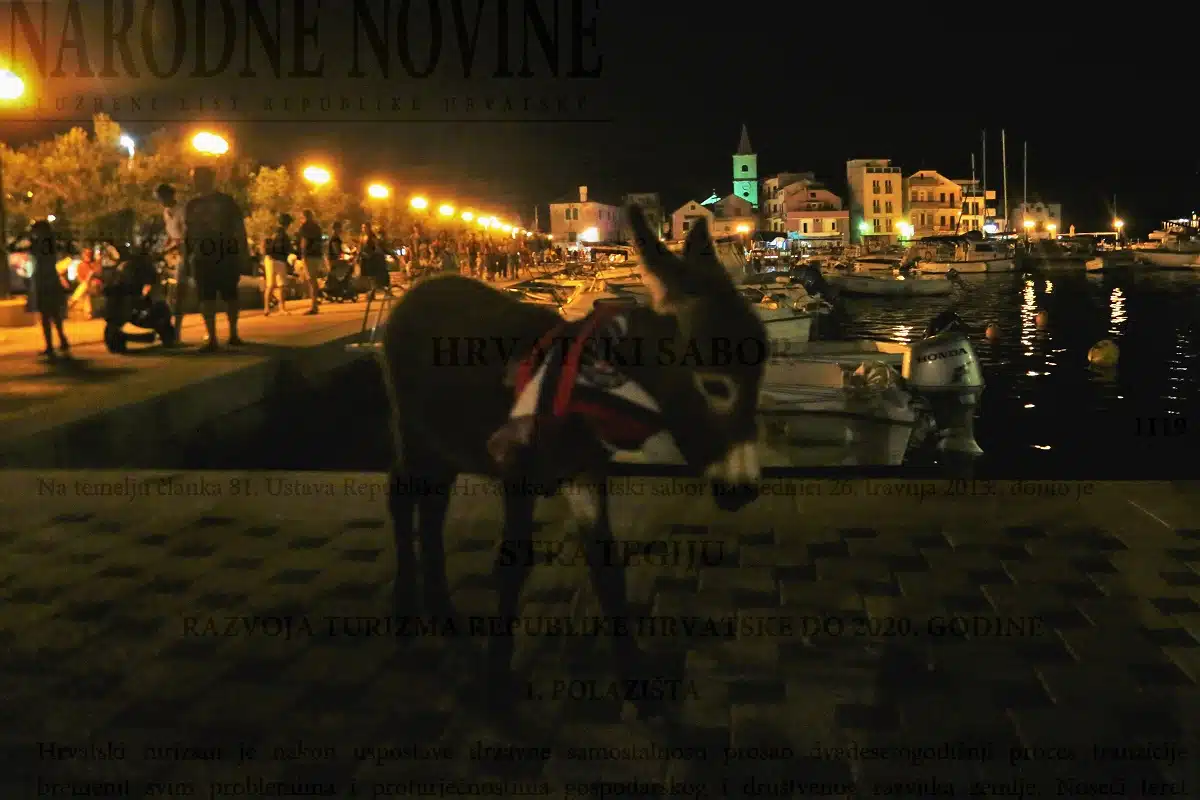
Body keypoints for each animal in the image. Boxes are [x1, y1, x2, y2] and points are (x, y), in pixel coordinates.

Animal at [380, 206, 769, 717]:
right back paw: (407, 610)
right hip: (411, 430)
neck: (594, 387)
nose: (743, 490)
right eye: (715, 385)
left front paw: (635, 677)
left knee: (432, 509)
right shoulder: (517, 475)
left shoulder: (586, 474)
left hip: (442, 443)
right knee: (402, 499)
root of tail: (424, 287)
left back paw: (441, 610)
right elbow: (512, 565)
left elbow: (606, 564)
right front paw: (497, 682)